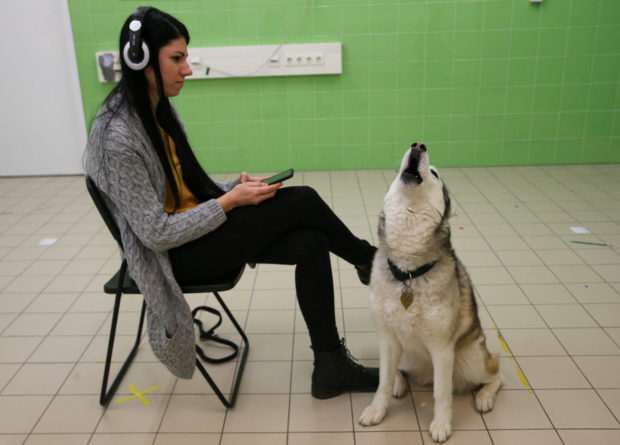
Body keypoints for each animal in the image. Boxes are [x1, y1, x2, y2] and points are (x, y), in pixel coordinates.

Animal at [358, 142, 504, 440]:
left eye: (435, 174)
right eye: (398, 169)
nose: (418, 145)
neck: (407, 272)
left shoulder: (442, 349)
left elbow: (442, 393)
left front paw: (441, 425)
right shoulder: (388, 339)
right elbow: (382, 382)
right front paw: (377, 411)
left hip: (470, 361)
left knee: (497, 373)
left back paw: (485, 397)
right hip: (407, 353)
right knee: (397, 372)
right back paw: (400, 383)